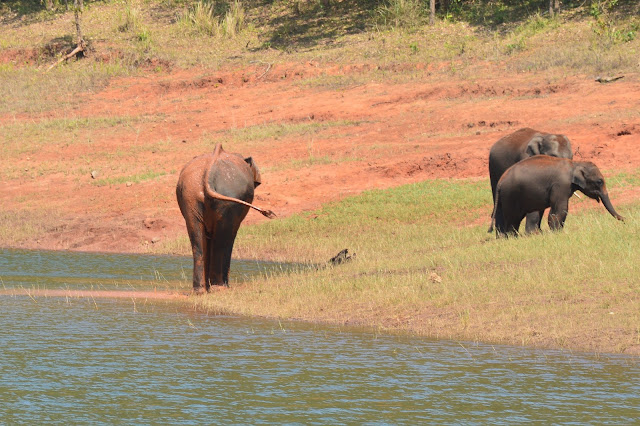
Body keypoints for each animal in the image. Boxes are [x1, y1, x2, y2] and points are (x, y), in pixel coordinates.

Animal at [175, 143, 276, 292]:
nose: (270, 213)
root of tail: (208, 172)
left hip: (190, 196)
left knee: (197, 240)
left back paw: (200, 291)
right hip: (228, 198)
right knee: (223, 239)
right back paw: (220, 287)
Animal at [490, 156, 624, 238]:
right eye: (599, 182)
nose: (625, 219)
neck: (574, 164)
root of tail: (500, 181)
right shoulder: (561, 185)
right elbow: (560, 209)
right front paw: (557, 232)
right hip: (510, 195)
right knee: (512, 218)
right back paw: (512, 237)